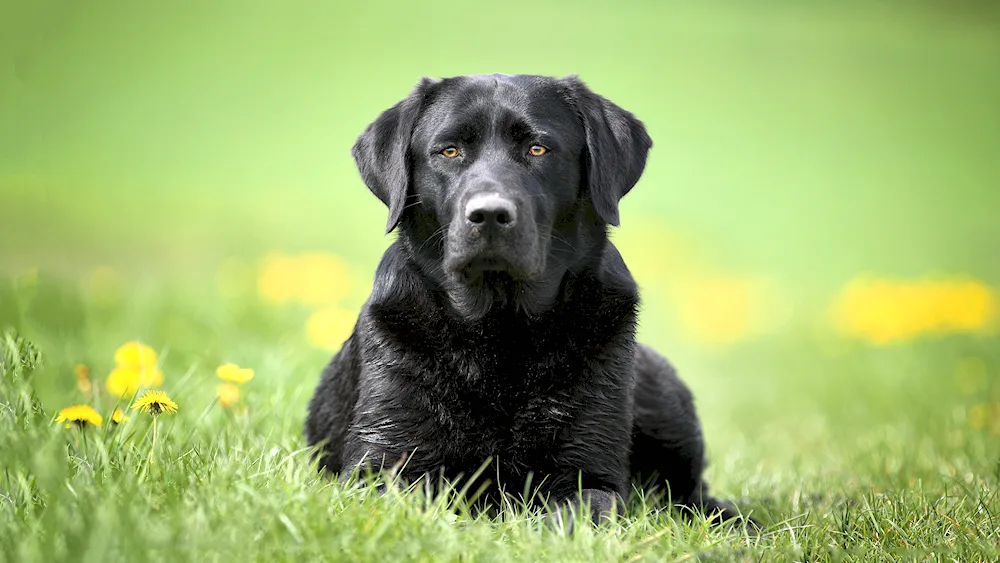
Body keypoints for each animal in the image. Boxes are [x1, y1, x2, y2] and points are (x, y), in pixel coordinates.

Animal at [308, 72, 752, 528]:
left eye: (537, 148)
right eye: (449, 151)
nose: (489, 214)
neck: (502, 332)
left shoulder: (590, 473)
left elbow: (582, 508)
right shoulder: (381, 468)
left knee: (690, 494)